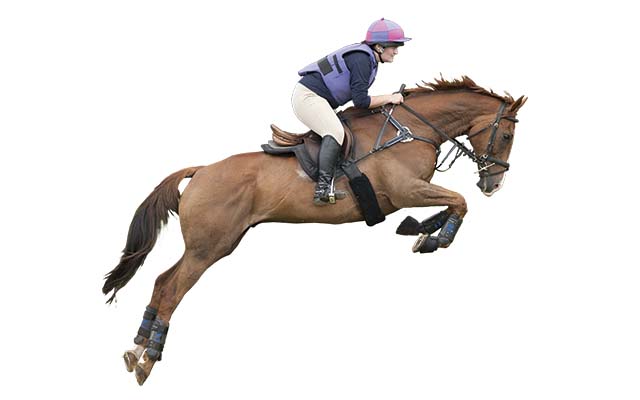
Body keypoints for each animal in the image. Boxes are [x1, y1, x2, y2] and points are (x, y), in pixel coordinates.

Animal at [103, 76, 526, 385]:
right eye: (506, 136)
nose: (493, 184)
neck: (410, 129)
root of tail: (202, 171)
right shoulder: (405, 190)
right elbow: (460, 202)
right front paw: (431, 237)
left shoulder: (412, 192)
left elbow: (454, 204)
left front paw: (422, 231)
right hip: (208, 249)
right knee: (173, 289)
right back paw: (148, 359)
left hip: (216, 244)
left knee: (162, 281)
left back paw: (137, 348)